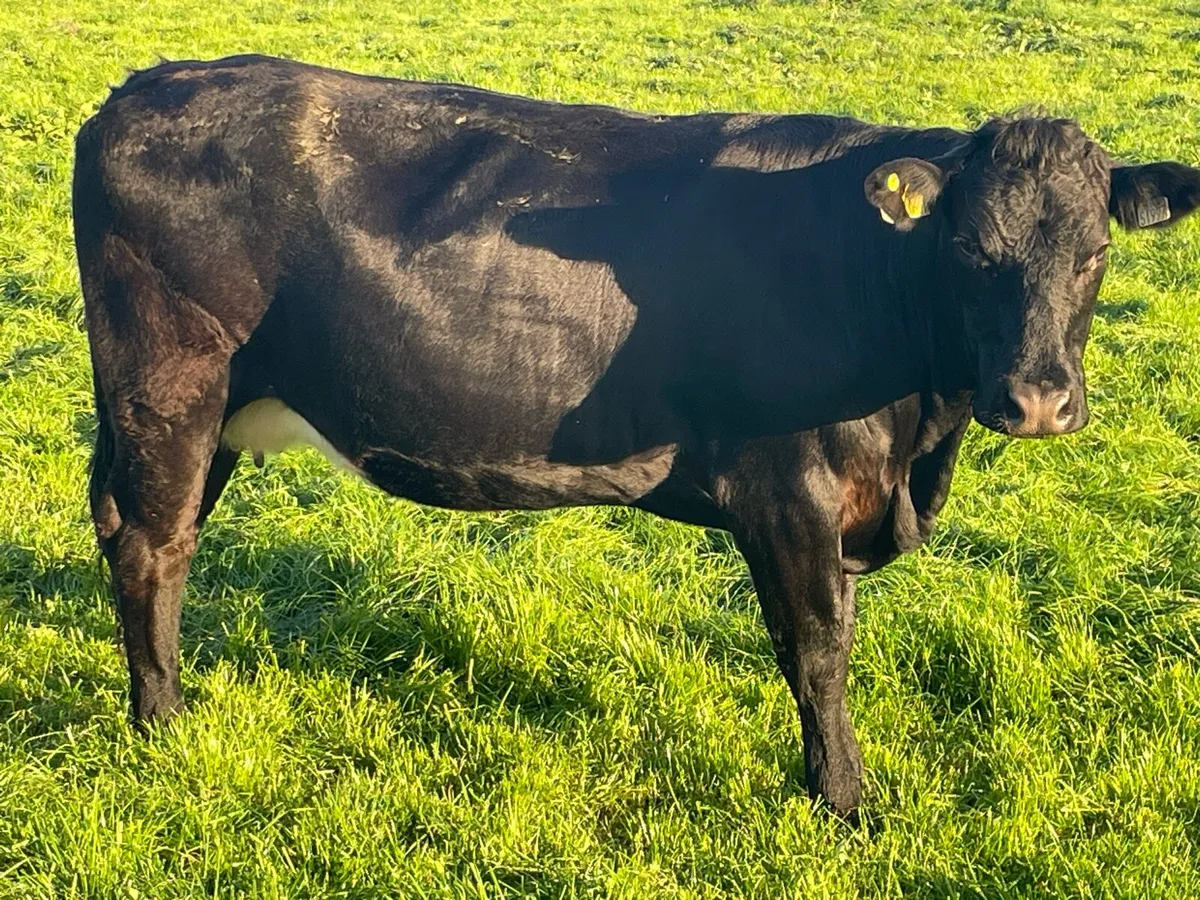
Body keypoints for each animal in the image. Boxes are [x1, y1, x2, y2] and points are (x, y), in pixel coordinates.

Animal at [73, 54, 1200, 821]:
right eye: (969, 248)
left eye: (1095, 252)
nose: (1039, 399)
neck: (915, 442)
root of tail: (148, 86)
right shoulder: (789, 491)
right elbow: (818, 652)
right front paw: (844, 802)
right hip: (171, 384)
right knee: (154, 545)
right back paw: (163, 723)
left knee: (137, 533)